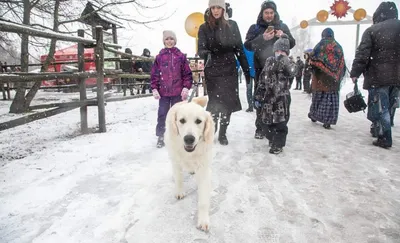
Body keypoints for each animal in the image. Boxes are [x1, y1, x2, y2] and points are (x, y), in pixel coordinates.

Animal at [164, 96, 214, 232]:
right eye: (182, 120)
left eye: (198, 121)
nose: (189, 139)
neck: (189, 154)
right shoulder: (176, 162)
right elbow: (179, 179)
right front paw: (179, 192)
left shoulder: (203, 170)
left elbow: (203, 201)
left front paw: (203, 220)